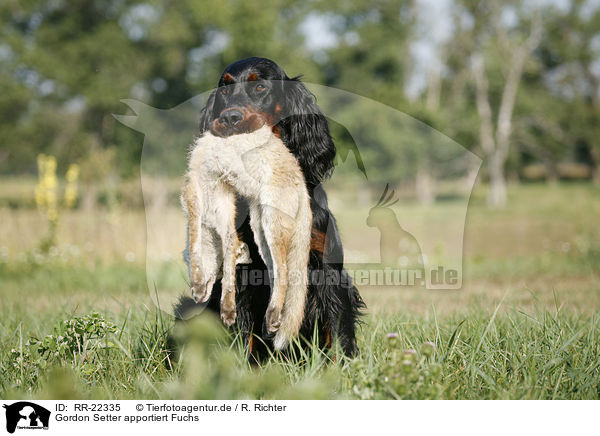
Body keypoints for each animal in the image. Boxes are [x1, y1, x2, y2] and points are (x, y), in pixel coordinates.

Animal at [180, 124, 312, 350]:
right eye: (217, 275)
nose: (198, 300)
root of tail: (302, 182)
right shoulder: (222, 208)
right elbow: (230, 249)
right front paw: (228, 308)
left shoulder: (194, 197)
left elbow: (195, 244)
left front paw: (197, 282)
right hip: (260, 231)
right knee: (275, 274)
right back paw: (270, 318)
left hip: (271, 223)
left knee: (284, 272)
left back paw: (273, 314)